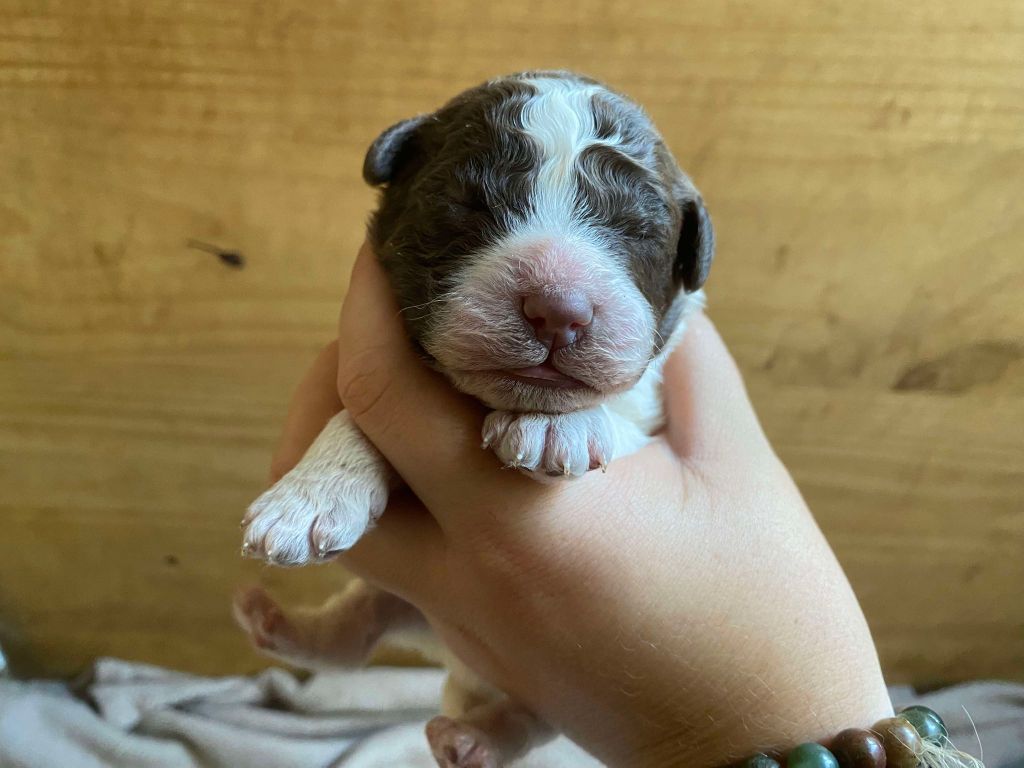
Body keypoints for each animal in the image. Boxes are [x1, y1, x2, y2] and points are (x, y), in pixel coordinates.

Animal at [235, 72, 716, 768]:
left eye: (635, 231)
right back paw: (280, 625)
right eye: (467, 206)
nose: (557, 307)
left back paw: (477, 741)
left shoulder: (652, 412)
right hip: (404, 607)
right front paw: (310, 495)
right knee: (357, 632)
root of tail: (464, 673)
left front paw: (557, 426)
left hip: (552, 690)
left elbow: (613, 413)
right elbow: (354, 419)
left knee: (532, 719)